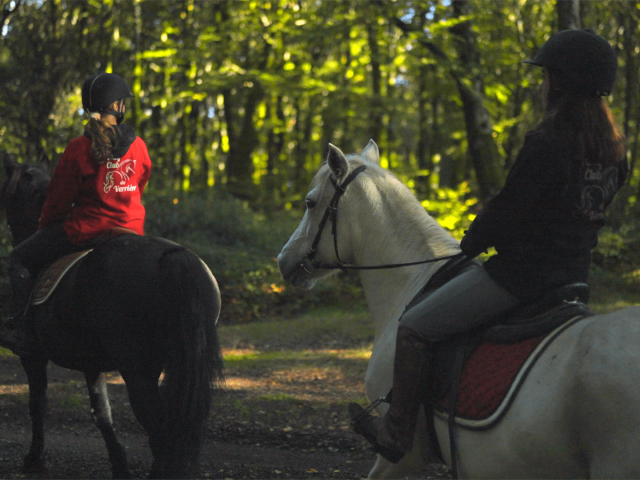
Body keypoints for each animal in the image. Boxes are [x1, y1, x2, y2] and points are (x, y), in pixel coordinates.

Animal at [0, 155, 225, 480]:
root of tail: (175, 256)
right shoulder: (91, 363)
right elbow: (102, 414)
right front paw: (119, 464)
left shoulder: (32, 356)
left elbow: (37, 403)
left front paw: (34, 458)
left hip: (137, 370)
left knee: (160, 429)